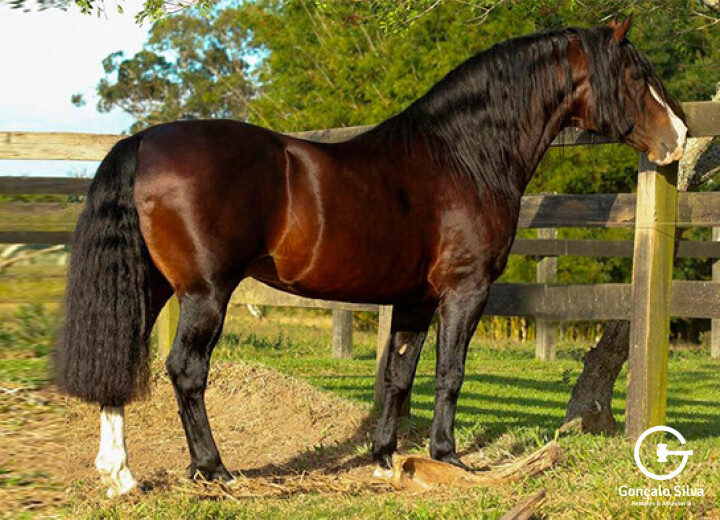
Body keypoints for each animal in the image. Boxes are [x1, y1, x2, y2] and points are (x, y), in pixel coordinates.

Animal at [54, 17, 686, 497]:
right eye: (636, 75)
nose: (679, 138)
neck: (463, 157)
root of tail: (144, 140)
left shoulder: (415, 300)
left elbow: (398, 374)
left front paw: (385, 458)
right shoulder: (465, 290)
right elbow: (449, 373)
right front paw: (449, 457)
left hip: (154, 286)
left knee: (122, 363)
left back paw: (121, 476)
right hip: (206, 293)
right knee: (186, 371)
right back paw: (214, 470)